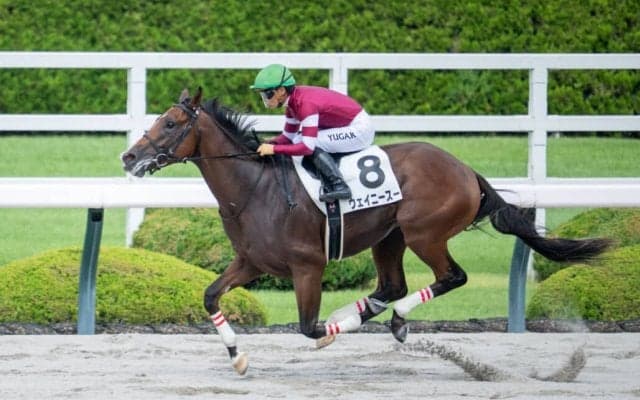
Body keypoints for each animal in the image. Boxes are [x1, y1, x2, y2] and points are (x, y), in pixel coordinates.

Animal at [121, 87, 611, 375]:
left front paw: (330, 330)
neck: (255, 188)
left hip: (424, 232)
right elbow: (210, 297)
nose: (129, 157)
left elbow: (309, 328)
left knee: (450, 277)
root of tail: (466, 170)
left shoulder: (308, 267)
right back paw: (365, 313)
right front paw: (238, 357)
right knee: (392, 285)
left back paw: (393, 321)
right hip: (389, 237)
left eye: (169, 123)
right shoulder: (251, 262)